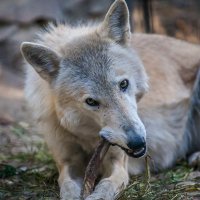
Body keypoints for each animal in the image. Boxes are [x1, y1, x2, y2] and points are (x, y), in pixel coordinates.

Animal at [20, 0, 200, 200]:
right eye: (91, 102)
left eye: (123, 84)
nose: (138, 142)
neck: (88, 136)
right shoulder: (66, 162)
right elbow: (67, 186)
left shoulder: (119, 165)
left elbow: (105, 187)